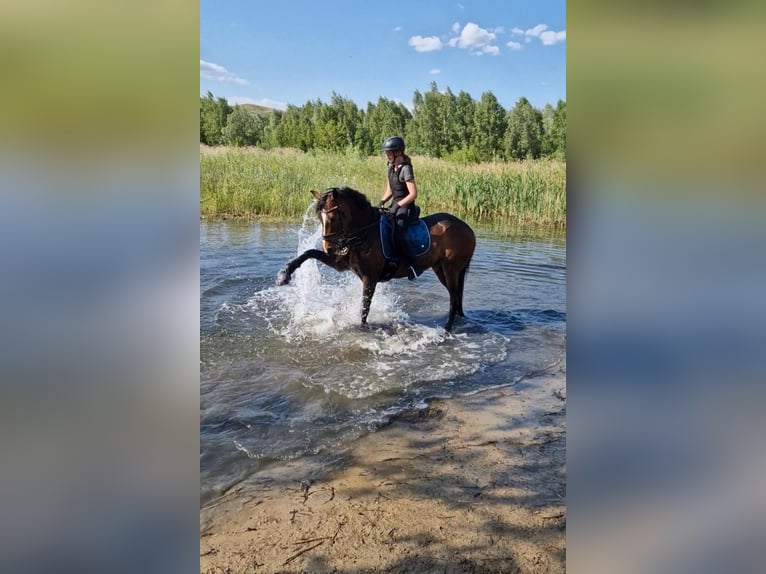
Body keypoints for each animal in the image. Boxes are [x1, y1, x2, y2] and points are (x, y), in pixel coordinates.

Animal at [276, 188, 476, 332]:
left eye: (332, 217)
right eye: (319, 217)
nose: (329, 248)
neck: (363, 232)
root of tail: (467, 228)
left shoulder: (369, 278)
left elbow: (364, 308)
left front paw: (361, 329)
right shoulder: (341, 264)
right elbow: (309, 253)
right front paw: (284, 275)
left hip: (451, 269)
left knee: (454, 296)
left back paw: (447, 329)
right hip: (441, 269)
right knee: (456, 296)